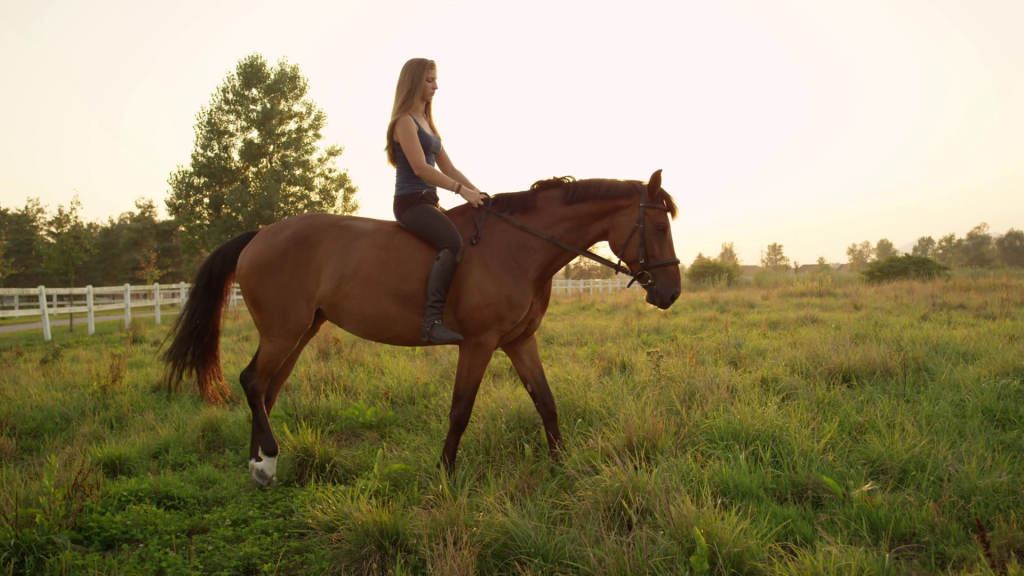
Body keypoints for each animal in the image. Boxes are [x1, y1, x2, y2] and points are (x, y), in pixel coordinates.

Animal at [161, 168, 679, 481]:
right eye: (658, 227)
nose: (670, 293)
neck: (519, 248)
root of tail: (260, 235)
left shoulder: (519, 341)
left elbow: (547, 403)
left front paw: (560, 467)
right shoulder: (479, 343)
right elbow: (460, 411)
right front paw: (446, 474)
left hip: (301, 331)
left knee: (266, 390)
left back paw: (259, 465)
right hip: (283, 331)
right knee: (252, 382)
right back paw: (265, 462)